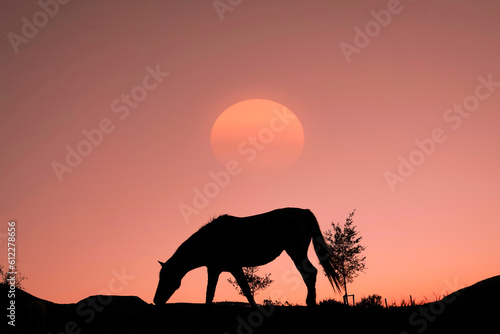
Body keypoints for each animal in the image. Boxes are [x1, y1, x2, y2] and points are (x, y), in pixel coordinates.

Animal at [153, 207, 340, 306]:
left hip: (296, 251)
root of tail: (304, 211)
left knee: (310, 273)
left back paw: (310, 302)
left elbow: (244, 290)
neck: (210, 239)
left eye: (166, 277)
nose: (156, 300)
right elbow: (211, 294)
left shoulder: (233, 267)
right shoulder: (215, 269)